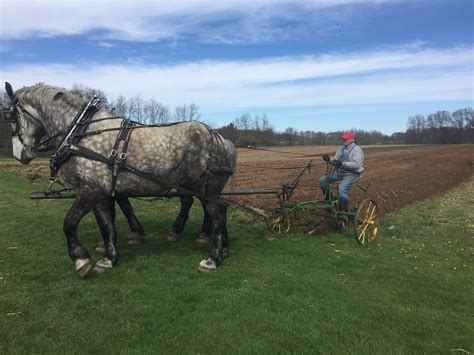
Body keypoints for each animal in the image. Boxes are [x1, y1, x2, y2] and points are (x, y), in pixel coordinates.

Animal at [1, 84, 235, 278]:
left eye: (11, 117)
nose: (19, 154)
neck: (80, 133)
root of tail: (216, 137)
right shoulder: (101, 192)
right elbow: (106, 224)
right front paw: (109, 257)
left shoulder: (91, 190)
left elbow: (69, 223)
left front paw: (80, 258)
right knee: (217, 211)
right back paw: (221, 246)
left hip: (207, 189)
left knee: (217, 216)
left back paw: (213, 257)